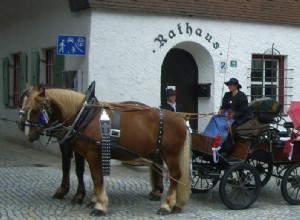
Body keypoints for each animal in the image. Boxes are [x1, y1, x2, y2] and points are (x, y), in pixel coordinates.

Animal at [21, 85, 190, 216]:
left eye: (36, 110)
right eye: (24, 106)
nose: (27, 133)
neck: (85, 116)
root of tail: (181, 119)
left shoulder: (92, 153)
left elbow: (96, 177)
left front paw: (99, 205)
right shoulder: (85, 152)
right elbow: (86, 173)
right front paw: (92, 200)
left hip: (170, 153)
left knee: (175, 175)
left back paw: (166, 205)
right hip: (160, 152)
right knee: (164, 171)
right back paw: (171, 202)